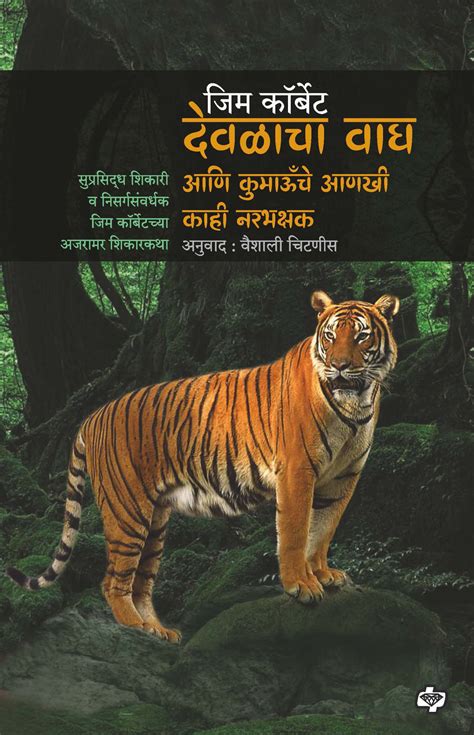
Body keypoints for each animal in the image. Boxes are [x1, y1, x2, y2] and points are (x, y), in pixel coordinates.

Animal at [6, 290, 399, 643]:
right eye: (330, 336)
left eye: (361, 336)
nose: (340, 366)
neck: (356, 402)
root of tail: (92, 416)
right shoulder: (297, 472)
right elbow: (295, 533)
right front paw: (300, 585)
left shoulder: (342, 478)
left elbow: (322, 531)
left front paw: (323, 574)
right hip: (126, 510)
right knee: (113, 580)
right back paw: (134, 627)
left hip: (155, 520)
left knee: (141, 583)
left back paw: (157, 630)